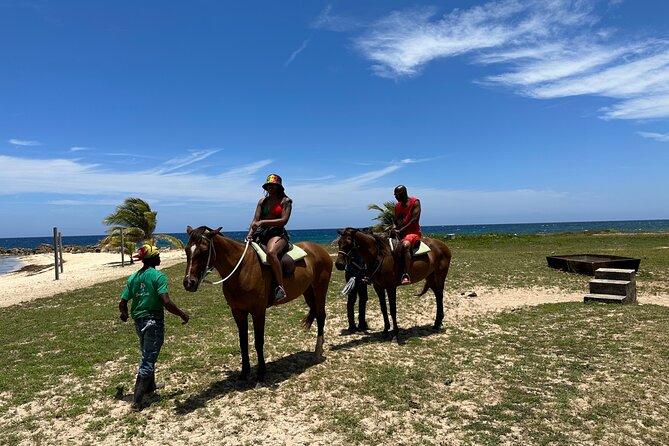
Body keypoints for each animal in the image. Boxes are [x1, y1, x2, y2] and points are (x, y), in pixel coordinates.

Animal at [183, 226, 332, 384]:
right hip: (308, 291)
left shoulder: (258, 311)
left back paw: (317, 351)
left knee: (321, 316)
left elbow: (258, 341)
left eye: (204, 251)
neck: (241, 269)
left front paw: (261, 374)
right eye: (186, 250)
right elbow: (243, 342)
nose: (189, 283)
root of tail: (319, 249)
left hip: (320, 289)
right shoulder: (238, 312)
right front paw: (244, 372)